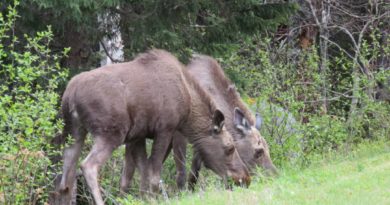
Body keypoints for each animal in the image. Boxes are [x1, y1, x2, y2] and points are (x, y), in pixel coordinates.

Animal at [57, 49, 250, 205]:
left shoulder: (137, 135)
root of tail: (70, 94)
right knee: (88, 166)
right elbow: (154, 176)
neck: (188, 110)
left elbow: (140, 174)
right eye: (230, 147)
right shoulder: (165, 129)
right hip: (111, 133)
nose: (245, 178)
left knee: (65, 179)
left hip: (74, 132)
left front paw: (144, 199)